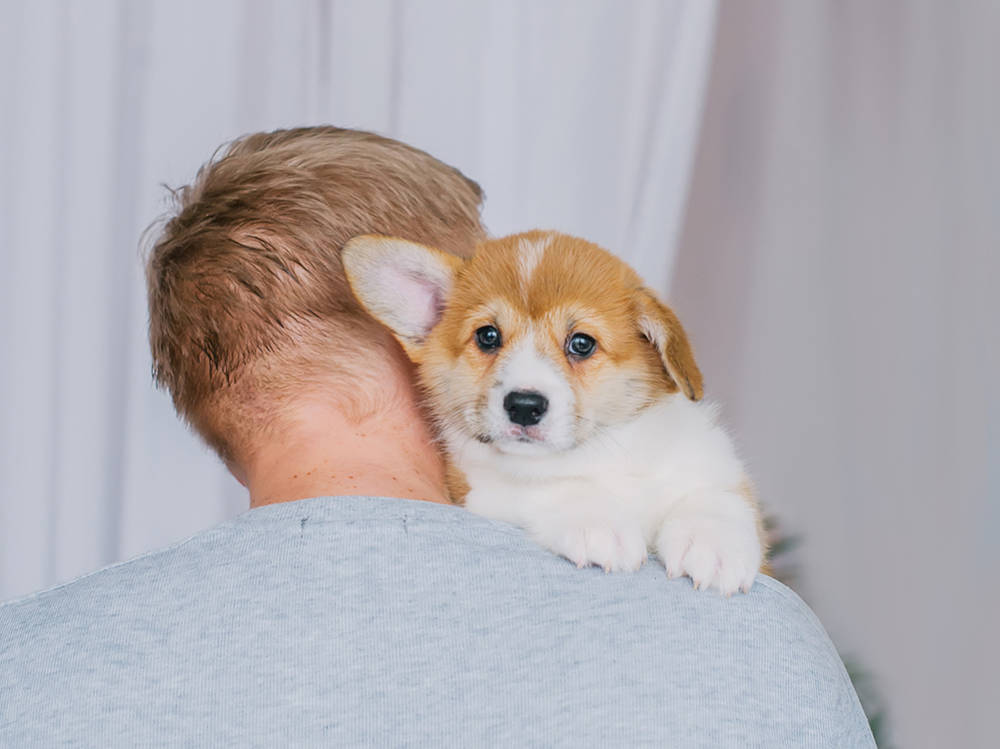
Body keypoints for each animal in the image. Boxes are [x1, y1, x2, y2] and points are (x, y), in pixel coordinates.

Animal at [344, 231, 764, 592]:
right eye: (487, 336)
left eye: (581, 343)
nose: (524, 407)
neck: (600, 452)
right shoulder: (480, 489)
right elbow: (553, 488)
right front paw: (599, 522)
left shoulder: (711, 464)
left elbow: (714, 496)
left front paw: (714, 545)